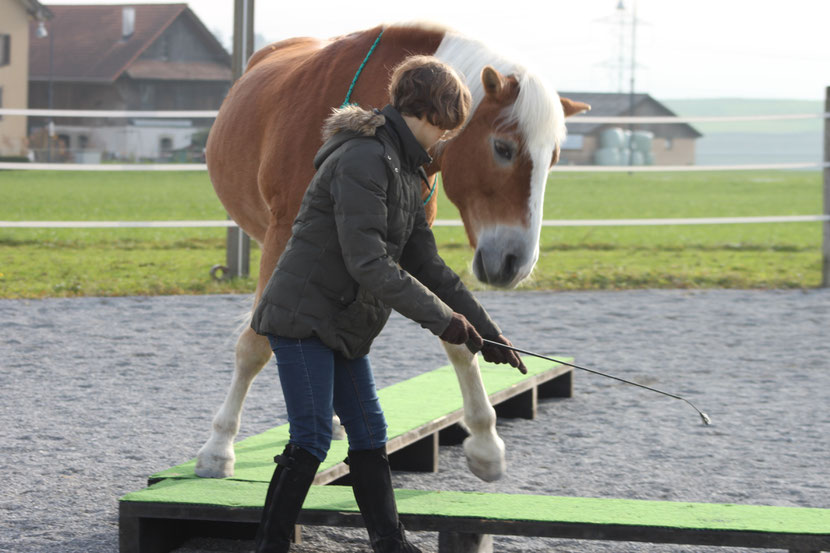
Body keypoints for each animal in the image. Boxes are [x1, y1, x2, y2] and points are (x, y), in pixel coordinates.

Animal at [197, 21, 588, 480]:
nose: (515, 264)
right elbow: (255, 345)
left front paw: (486, 442)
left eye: (554, 159)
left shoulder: (407, 248)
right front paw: (219, 447)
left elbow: (457, 332)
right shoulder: (283, 239)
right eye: (503, 148)